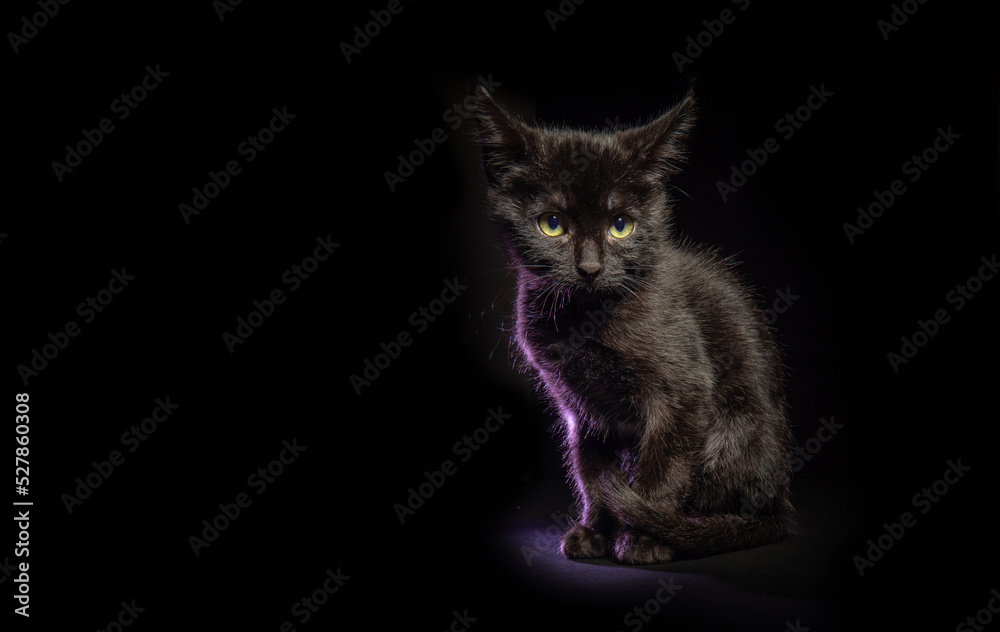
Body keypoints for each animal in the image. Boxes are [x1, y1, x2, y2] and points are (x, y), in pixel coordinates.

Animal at [472, 87, 792, 564]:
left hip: (732, 432)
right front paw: (595, 531)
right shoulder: (580, 407)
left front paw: (643, 538)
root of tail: (782, 498)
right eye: (553, 225)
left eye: (620, 225)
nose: (589, 268)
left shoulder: (683, 390)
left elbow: (662, 469)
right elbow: (590, 469)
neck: (584, 322)